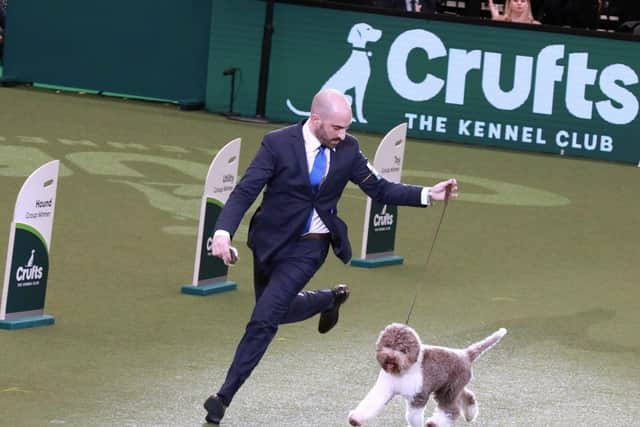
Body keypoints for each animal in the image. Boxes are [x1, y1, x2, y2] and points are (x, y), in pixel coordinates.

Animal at [348, 324, 508, 427]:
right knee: (467, 395)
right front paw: (356, 419)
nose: (390, 358)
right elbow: (371, 402)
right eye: (387, 345)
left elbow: (413, 416)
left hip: (448, 391)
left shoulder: (418, 396)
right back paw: (470, 415)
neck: (403, 371)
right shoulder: (384, 389)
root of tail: (465, 354)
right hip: (450, 388)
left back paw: (434, 423)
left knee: (452, 410)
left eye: (403, 350)